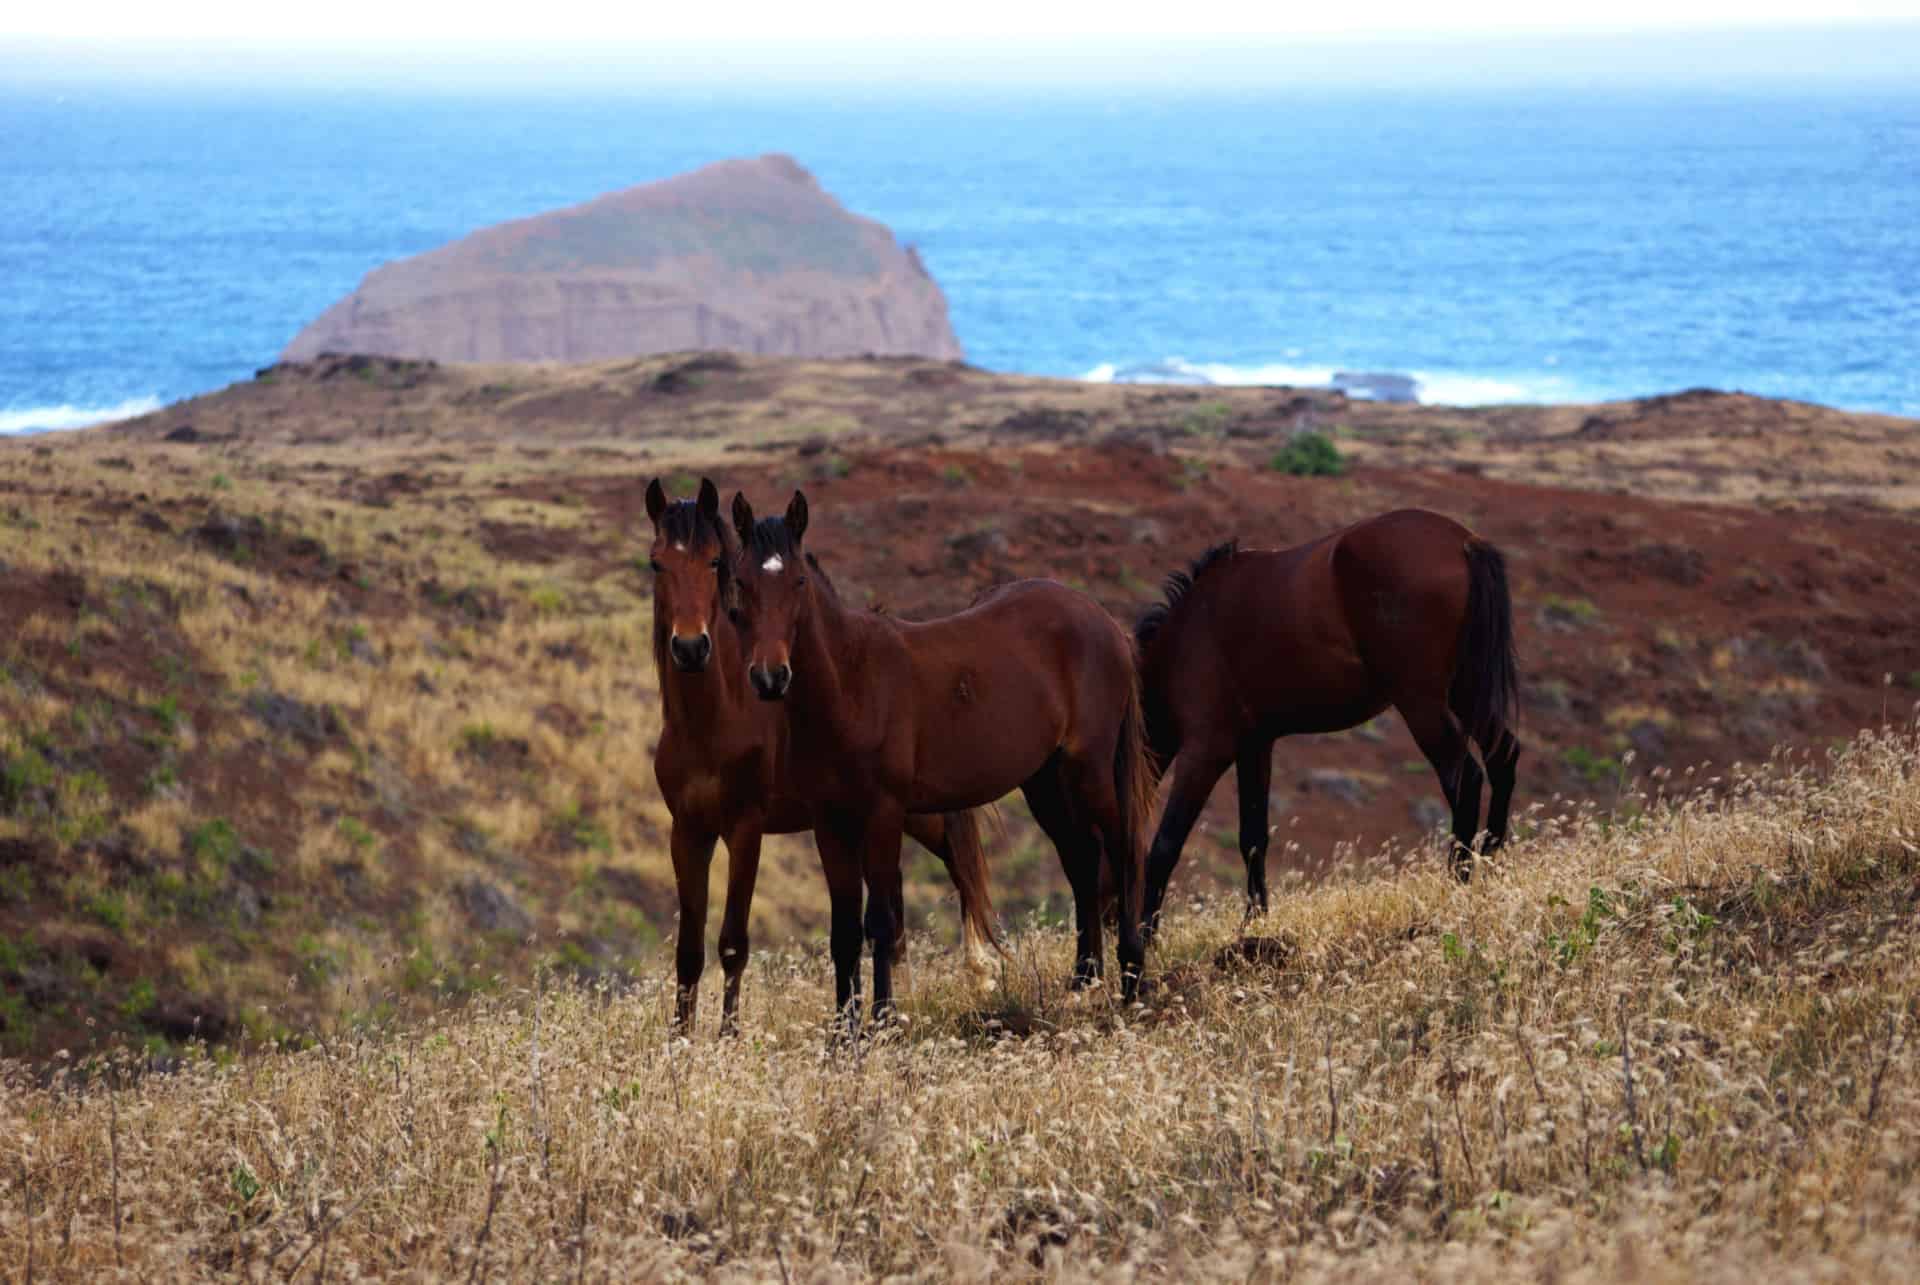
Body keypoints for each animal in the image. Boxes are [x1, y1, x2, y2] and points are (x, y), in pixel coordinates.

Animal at [648, 478, 1006, 1029]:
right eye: (656, 563)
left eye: (713, 561)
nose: (690, 647)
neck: (714, 721)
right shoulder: (688, 831)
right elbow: (689, 950)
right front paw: (680, 1041)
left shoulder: (745, 829)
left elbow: (732, 943)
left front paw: (727, 1038)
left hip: (915, 815)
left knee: (958, 867)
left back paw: (975, 975)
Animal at [725, 485, 1152, 1014]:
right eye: (741, 582)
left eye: (799, 581)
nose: (770, 677)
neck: (851, 684)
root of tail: (1103, 620)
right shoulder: (830, 822)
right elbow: (844, 933)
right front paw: (845, 1030)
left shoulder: (884, 813)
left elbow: (881, 922)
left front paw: (883, 1019)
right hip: (1045, 781)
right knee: (1082, 858)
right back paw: (1083, 984)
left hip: (1087, 770)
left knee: (1121, 848)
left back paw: (1133, 979)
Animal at [1128, 499, 1520, 933]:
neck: (1185, 638)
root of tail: (1464, 542)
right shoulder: (1254, 745)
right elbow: (1253, 837)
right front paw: (1255, 923)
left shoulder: (1205, 750)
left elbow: (1166, 844)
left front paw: (1145, 938)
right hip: (1465, 692)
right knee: (1503, 756)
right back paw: (1491, 863)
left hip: (1423, 703)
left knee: (1464, 779)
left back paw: (1456, 885)